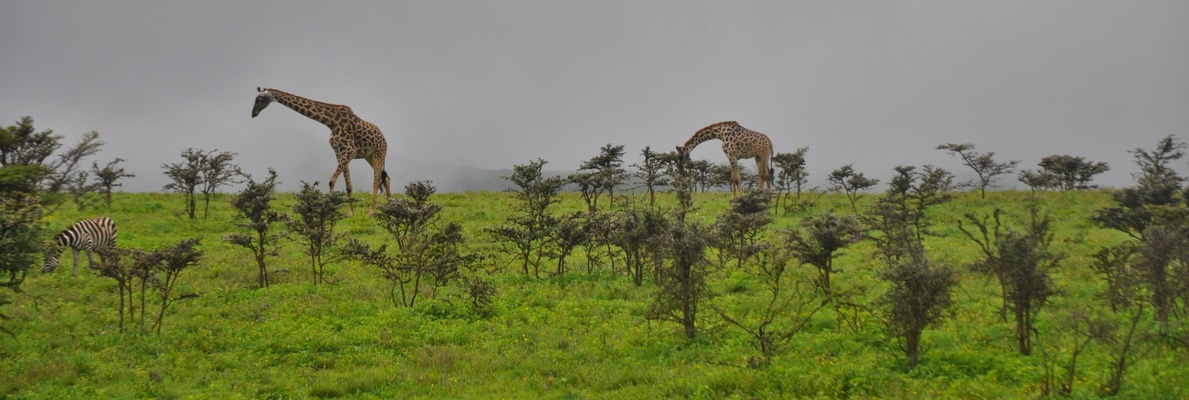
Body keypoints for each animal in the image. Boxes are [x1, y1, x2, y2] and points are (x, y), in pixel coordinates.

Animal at [252, 86, 394, 215]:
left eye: (259, 99)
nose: (253, 113)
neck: (331, 122)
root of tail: (384, 140)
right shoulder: (339, 153)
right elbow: (348, 186)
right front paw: (351, 213)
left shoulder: (349, 152)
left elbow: (331, 181)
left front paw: (327, 209)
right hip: (369, 157)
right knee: (386, 177)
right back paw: (389, 205)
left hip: (378, 154)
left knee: (376, 180)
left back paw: (371, 212)